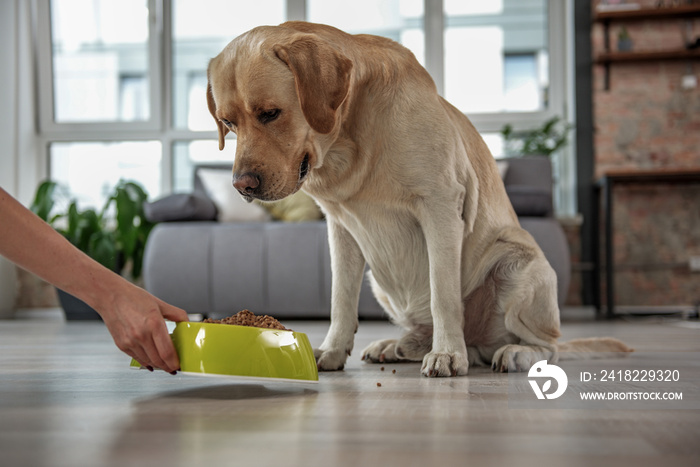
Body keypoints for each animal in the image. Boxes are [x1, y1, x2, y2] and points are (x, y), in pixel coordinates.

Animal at [205, 23, 632, 378]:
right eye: (228, 123)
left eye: (270, 113)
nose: (242, 185)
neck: (350, 144)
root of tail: (480, 343)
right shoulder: (341, 229)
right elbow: (340, 299)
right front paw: (331, 350)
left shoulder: (440, 209)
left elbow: (444, 294)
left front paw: (448, 355)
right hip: (379, 279)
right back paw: (397, 345)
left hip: (518, 262)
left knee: (548, 346)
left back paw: (509, 352)